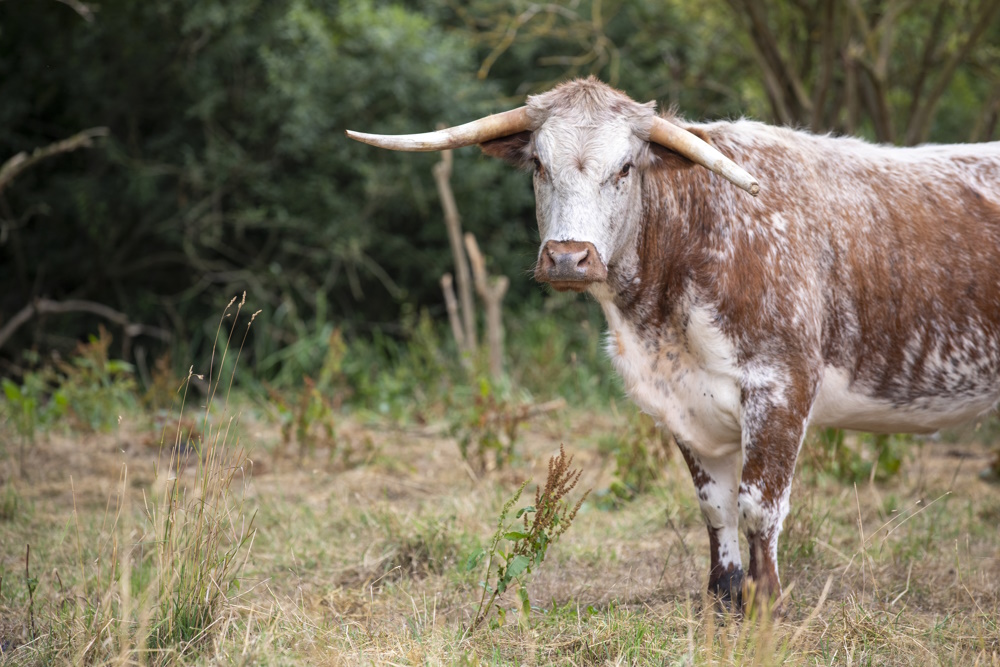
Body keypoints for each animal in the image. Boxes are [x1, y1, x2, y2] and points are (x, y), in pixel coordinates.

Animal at [347, 77, 1000, 611]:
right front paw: (724, 599)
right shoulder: (686, 403)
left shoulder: (782, 386)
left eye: (625, 168)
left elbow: (758, 506)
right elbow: (715, 505)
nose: (567, 257)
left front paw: (767, 607)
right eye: (538, 164)